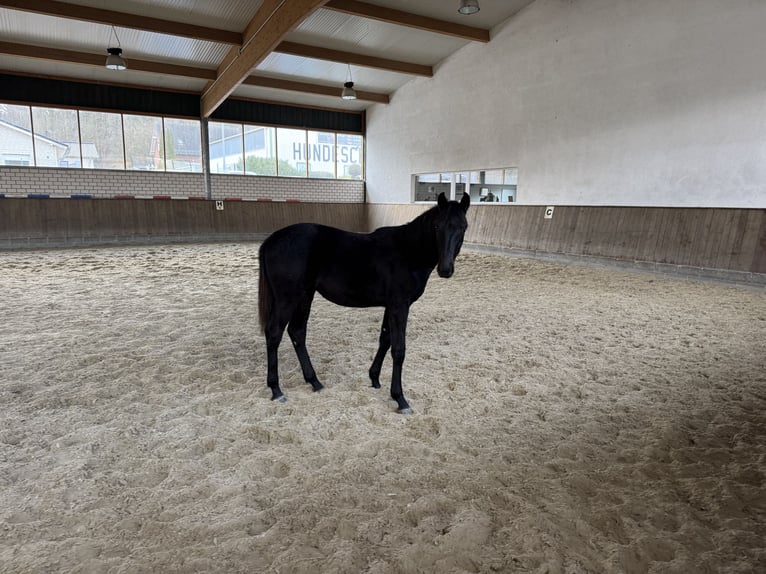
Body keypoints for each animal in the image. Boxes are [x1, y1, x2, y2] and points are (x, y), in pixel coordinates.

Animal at [260, 194, 472, 414]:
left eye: (463, 227)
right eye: (437, 226)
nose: (445, 269)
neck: (407, 251)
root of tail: (270, 241)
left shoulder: (390, 306)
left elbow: (385, 340)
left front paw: (375, 378)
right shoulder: (400, 305)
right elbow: (398, 349)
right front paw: (400, 398)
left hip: (304, 296)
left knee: (297, 332)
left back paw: (314, 382)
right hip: (288, 299)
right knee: (274, 333)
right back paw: (276, 389)